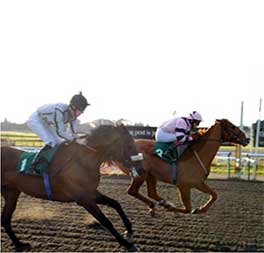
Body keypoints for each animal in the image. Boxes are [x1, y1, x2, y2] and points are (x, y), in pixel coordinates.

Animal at [0, 124, 142, 251]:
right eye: (129, 145)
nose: (141, 168)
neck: (84, 161)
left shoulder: (91, 193)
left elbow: (116, 204)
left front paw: (129, 232)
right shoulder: (83, 198)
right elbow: (105, 220)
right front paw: (126, 244)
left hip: (11, 192)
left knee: (5, 219)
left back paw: (19, 244)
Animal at [120, 118, 250, 215]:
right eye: (232, 126)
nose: (247, 139)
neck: (199, 154)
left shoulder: (198, 182)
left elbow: (214, 195)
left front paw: (201, 209)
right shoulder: (184, 185)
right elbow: (188, 208)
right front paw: (173, 208)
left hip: (151, 175)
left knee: (151, 193)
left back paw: (160, 204)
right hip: (141, 174)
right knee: (132, 191)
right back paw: (160, 205)